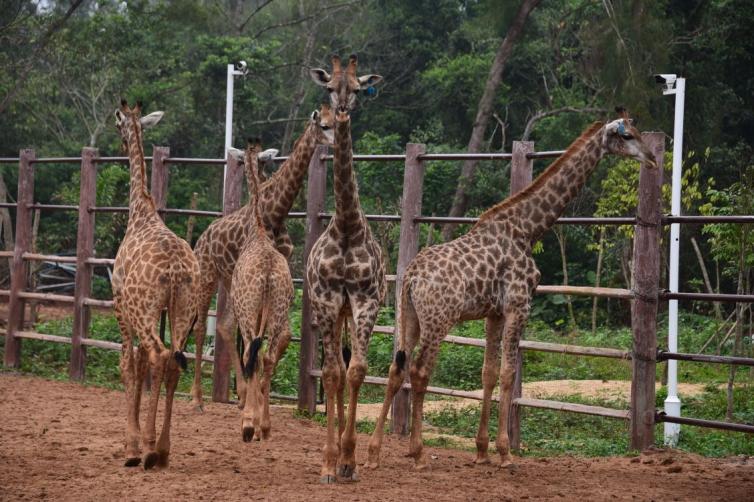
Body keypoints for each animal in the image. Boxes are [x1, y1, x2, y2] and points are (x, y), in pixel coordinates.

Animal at [191, 104, 334, 406]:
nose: (336, 141)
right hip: (207, 274)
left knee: (225, 325)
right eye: (323, 126)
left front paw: (254, 391)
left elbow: (280, 335)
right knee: (201, 326)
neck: (275, 212)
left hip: (228, 279)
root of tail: (202, 237)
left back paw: (243, 393)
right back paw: (198, 396)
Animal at [368, 107, 656, 470]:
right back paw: (417, 452)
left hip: (409, 317)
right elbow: (508, 373)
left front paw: (481, 450)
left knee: (396, 368)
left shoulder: (494, 313)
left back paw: (374, 452)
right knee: (420, 372)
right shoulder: (519, 304)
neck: (526, 229)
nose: (652, 159)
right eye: (628, 135)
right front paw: (505, 452)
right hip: (438, 320)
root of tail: (411, 277)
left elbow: (488, 373)